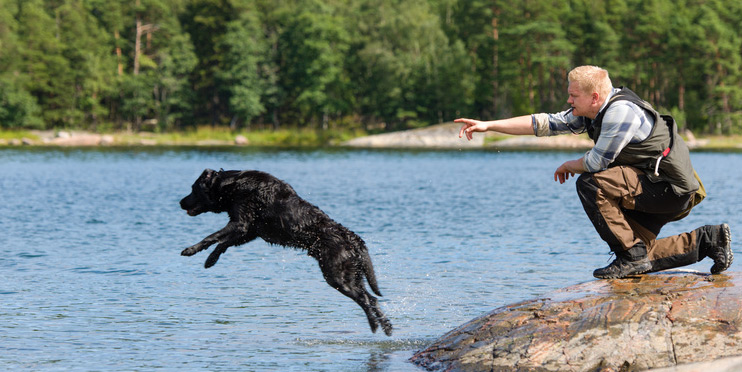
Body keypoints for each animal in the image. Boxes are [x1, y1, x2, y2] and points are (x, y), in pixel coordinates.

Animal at [181, 170, 396, 336]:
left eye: (193, 189)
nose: (180, 202)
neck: (233, 184)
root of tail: (353, 238)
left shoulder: (241, 224)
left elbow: (212, 237)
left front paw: (190, 250)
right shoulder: (250, 231)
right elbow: (222, 244)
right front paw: (210, 260)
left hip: (337, 277)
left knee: (367, 300)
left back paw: (376, 326)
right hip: (352, 275)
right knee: (372, 299)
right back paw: (385, 327)